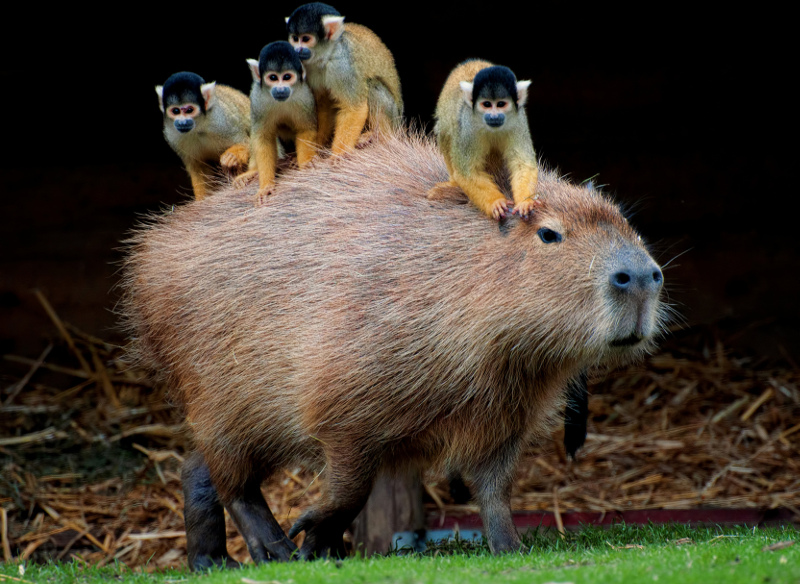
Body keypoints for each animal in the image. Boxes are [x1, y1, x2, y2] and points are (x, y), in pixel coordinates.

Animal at [156, 71, 250, 201]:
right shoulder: (172, 135)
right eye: (175, 111)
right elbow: (199, 167)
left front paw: (233, 156)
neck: (198, 127)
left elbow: (248, 142)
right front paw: (202, 200)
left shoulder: (223, 121)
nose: (182, 122)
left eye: (189, 110)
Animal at [241, 41, 318, 201]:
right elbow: (262, 138)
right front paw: (265, 186)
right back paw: (253, 171)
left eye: (287, 77)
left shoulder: (305, 96)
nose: (280, 89)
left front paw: (306, 162)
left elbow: (305, 129)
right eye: (273, 78)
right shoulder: (257, 98)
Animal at [284, 1, 404, 155]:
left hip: (394, 117)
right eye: (295, 38)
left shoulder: (342, 65)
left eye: (305, 39)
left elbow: (354, 108)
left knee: (372, 86)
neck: (326, 56)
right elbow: (324, 105)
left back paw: (379, 136)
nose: (296, 50)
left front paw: (338, 155)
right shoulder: (306, 67)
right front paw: (317, 144)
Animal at [428, 61, 540, 221]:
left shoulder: (519, 121)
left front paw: (526, 202)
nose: (494, 116)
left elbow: (522, 164)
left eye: (501, 104)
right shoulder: (468, 124)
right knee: (446, 132)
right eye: (487, 104)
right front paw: (496, 202)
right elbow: (468, 171)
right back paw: (454, 184)